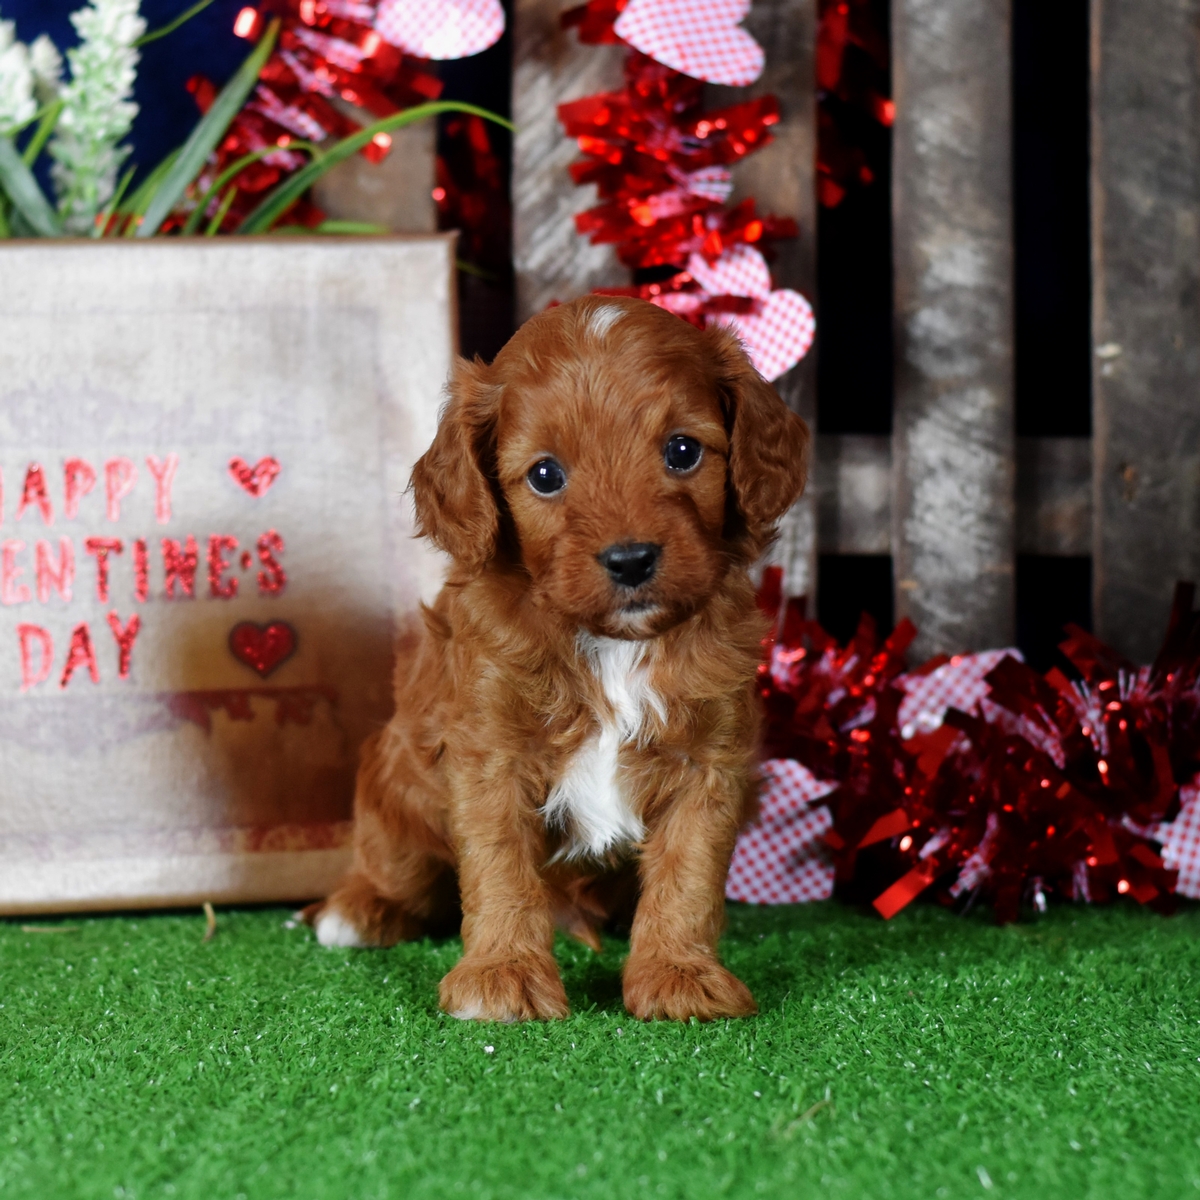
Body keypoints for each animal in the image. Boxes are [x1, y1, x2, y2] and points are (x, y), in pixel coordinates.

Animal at [303, 295, 810, 1022]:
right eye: (545, 475)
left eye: (683, 451)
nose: (631, 559)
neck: (612, 642)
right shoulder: (488, 752)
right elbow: (500, 867)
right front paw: (502, 975)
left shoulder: (711, 761)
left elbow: (688, 874)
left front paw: (678, 973)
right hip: (397, 788)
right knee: (395, 866)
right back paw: (356, 910)